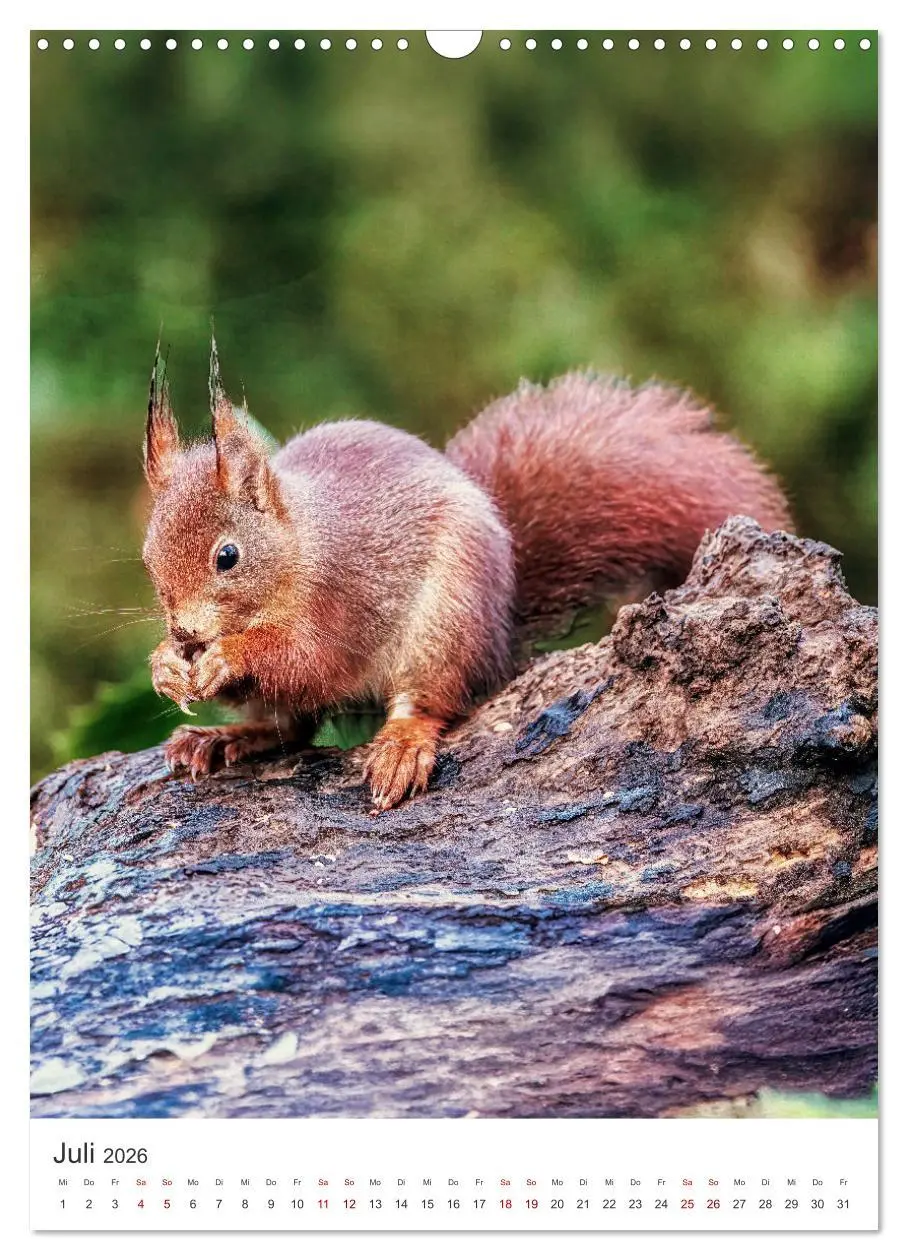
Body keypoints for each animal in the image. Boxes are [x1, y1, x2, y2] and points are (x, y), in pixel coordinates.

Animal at [142, 341, 793, 809]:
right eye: (148, 558)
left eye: (227, 556)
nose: (186, 632)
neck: (297, 549)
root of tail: (500, 631)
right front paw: (166, 665)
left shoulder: (342, 596)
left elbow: (307, 658)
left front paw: (229, 655)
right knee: (288, 728)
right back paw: (223, 738)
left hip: (445, 624)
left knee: (425, 703)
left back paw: (402, 746)